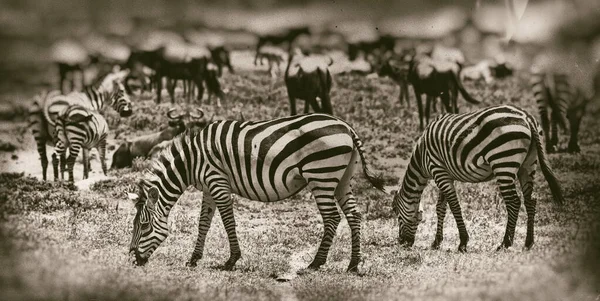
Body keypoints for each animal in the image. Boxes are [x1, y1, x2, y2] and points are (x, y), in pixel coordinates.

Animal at [129, 113, 386, 272]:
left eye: (144, 225)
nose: (132, 259)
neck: (192, 161)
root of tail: (347, 127)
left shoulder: (217, 181)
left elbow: (228, 221)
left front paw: (231, 260)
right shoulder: (209, 188)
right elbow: (203, 223)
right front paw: (193, 259)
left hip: (321, 175)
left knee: (332, 217)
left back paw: (316, 262)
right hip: (342, 178)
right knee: (354, 215)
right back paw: (353, 264)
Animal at [394, 105, 564, 251]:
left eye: (397, 215)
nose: (402, 243)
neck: (422, 157)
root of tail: (527, 118)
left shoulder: (438, 169)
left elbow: (454, 206)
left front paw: (463, 242)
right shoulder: (445, 173)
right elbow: (441, 207)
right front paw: (437, 242)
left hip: (503, 162)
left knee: (514, 202)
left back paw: (505, 243)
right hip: (528, 164)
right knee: (531, 200)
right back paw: (528, 243)